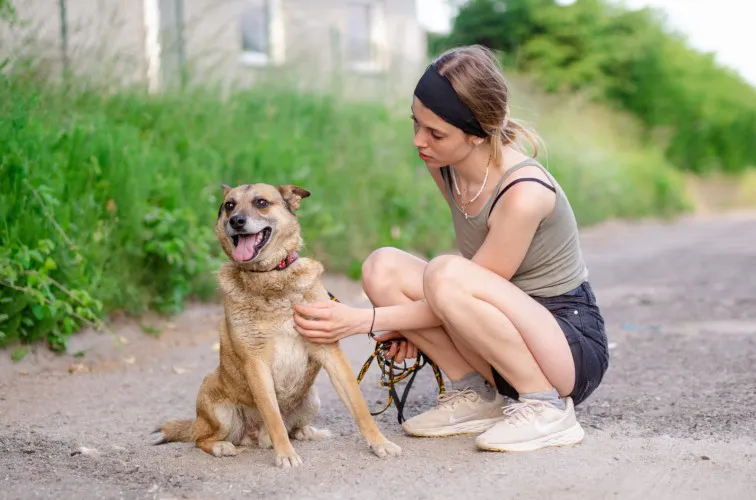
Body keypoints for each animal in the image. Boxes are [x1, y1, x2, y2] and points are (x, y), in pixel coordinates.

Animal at [154, 182, 402, 466]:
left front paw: (380, 443)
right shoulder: (256, 364)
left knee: (293, 427)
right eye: (229, 205)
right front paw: (285, 455)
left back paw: (307, 431)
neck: (271, 277)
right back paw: (222, 446)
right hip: (219, 409)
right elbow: (274, 418)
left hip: (312, 400)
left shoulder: (331, 353)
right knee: (201, 438)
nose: (236, 221)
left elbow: (359, 407)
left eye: (261, 202)